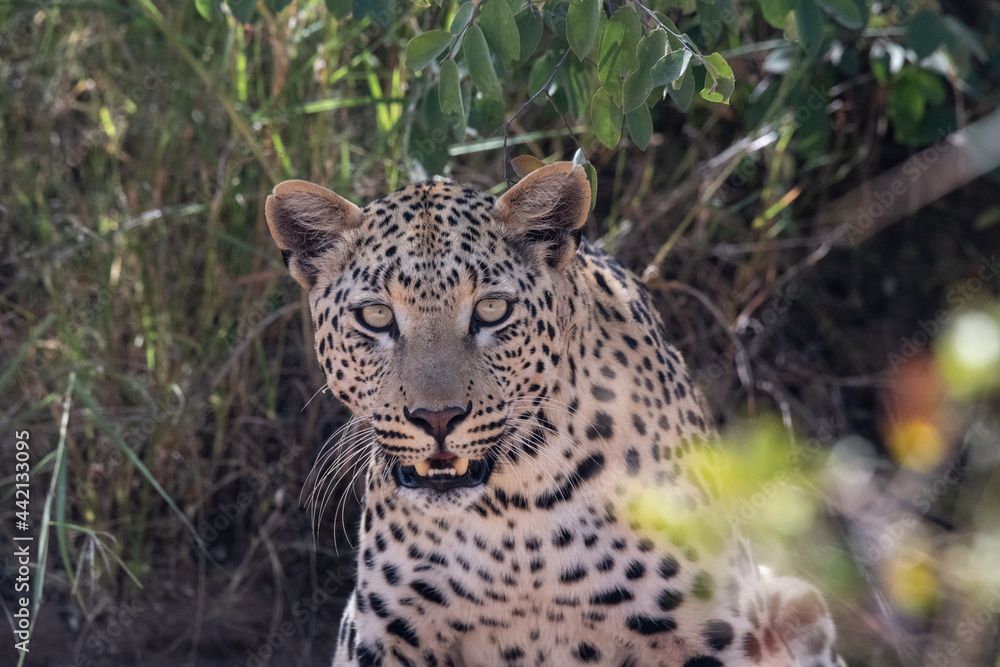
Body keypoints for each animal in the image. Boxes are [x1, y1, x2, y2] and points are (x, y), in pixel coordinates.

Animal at [264, 162, 842, 667]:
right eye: (376, 316)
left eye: (492, 310)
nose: (437, 418)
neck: (514, 520)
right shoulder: (381, 634)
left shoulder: (718, 630)